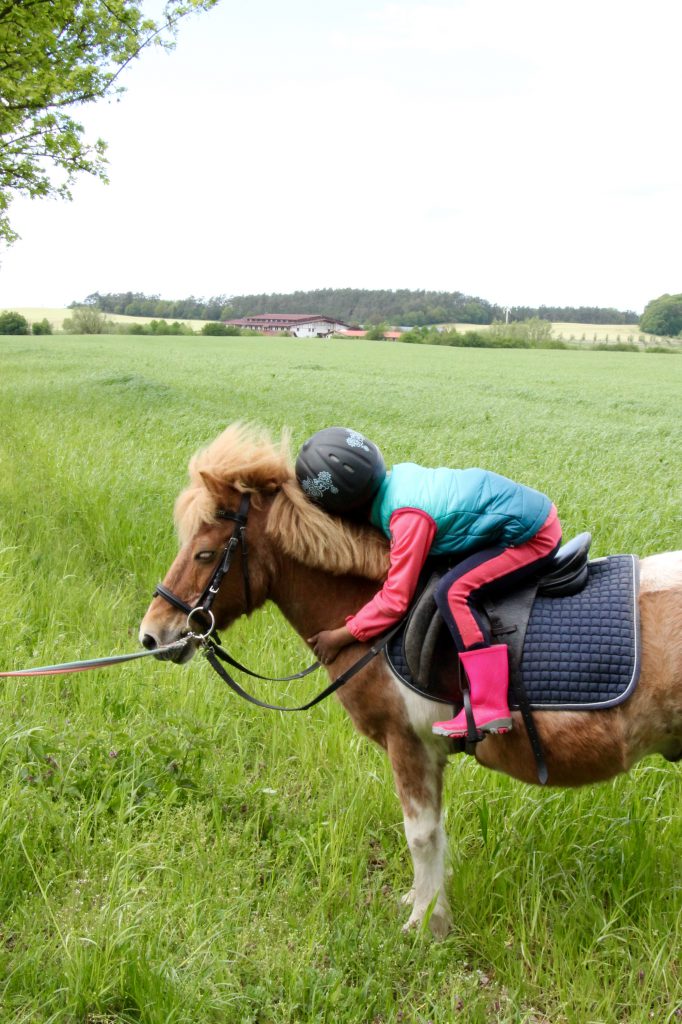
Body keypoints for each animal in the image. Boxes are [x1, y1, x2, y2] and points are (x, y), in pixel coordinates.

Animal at [138, 421, 679, 937]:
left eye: (205, 554)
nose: (152, 635)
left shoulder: (408, 742)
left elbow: (419, 835)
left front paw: (425, 924)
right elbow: (435, 833)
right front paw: (425, 904)